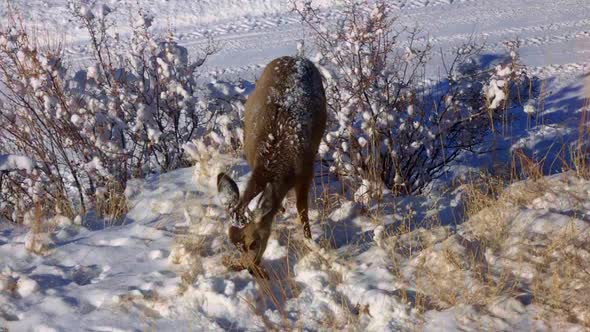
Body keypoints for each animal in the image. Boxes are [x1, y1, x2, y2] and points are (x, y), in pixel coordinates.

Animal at [217, 56, 328, 278]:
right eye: (235, 245)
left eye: (254, 242)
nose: (249, 269)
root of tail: (294, 57)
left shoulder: (306, 171)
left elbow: (302, 211)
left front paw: (310, 240)